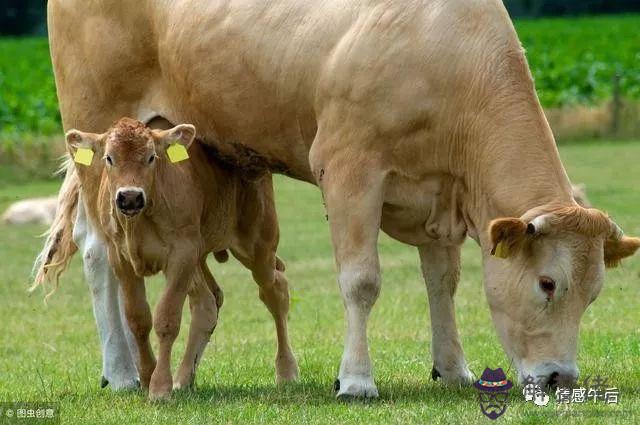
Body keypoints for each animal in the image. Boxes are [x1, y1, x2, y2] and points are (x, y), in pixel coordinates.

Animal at [63, 117, 298, 400]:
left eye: (151, 157)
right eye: (109, 158)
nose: (130, 196)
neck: (141, 221)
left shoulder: (181, 257)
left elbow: (167, 318)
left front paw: (160, 387)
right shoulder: (121, 259)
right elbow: (138, 318)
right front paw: (147, 375)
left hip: (257, 244)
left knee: (275, 291)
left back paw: (286, 370)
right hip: (200, 258)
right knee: (208, 302)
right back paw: (184, 378)